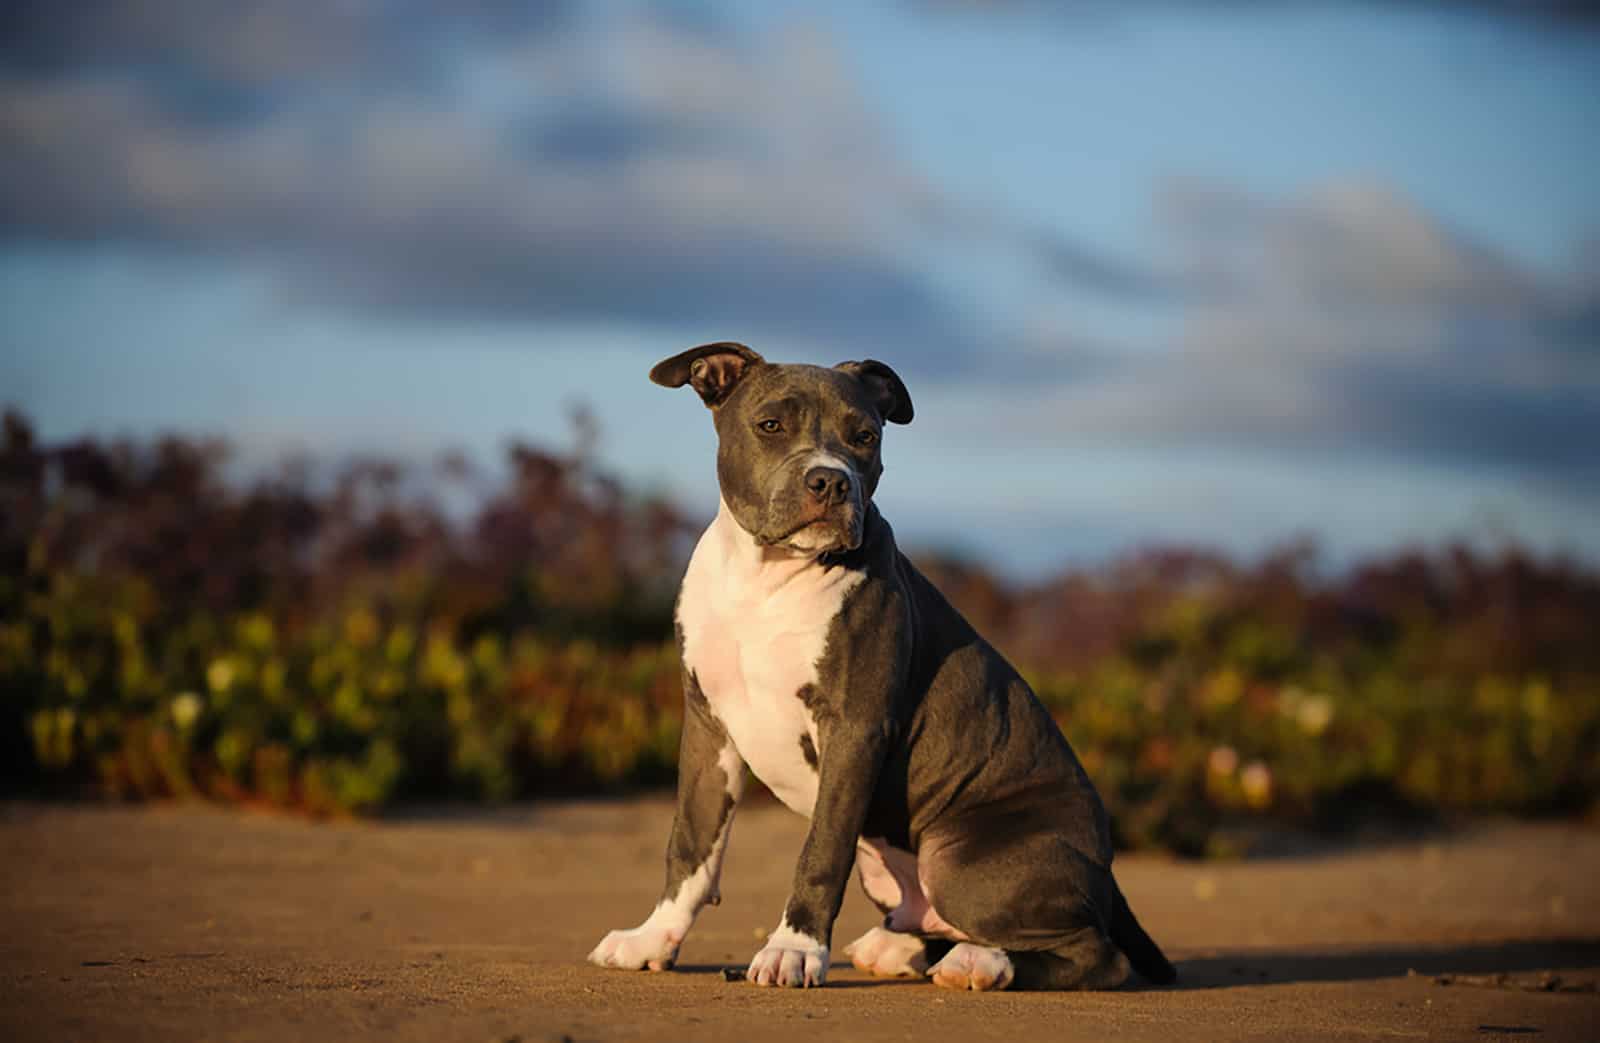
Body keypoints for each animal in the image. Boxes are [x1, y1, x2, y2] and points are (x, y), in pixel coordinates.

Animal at [588, 343, 1177, 991]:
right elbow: (691, 843)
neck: (767, 577)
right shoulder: (708, 726)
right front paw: (652, 938)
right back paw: (900, 949)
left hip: (961, 861)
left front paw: (793, 949)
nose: (830, 479)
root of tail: (1108, 870)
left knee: (1097, 954)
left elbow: (821, 850)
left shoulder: (854, 729)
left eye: (865, 436)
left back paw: (979, 963)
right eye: (770, 425)